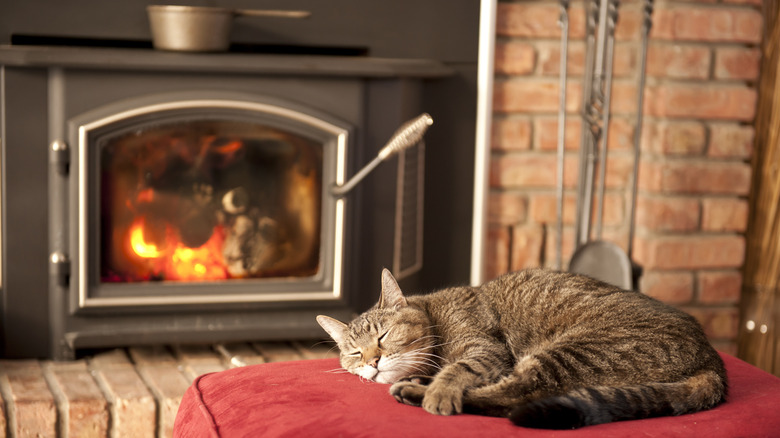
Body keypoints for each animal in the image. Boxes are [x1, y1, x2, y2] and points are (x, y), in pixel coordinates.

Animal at [314, 268, 728, 430]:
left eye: (383, 336)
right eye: (354, 353)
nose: (373, 361)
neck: (434, 313)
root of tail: (712, 358)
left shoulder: (485, 351)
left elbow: (457, 371)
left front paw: (437, 389)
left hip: (569, 352)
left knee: (512, 396)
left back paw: (417, 393)